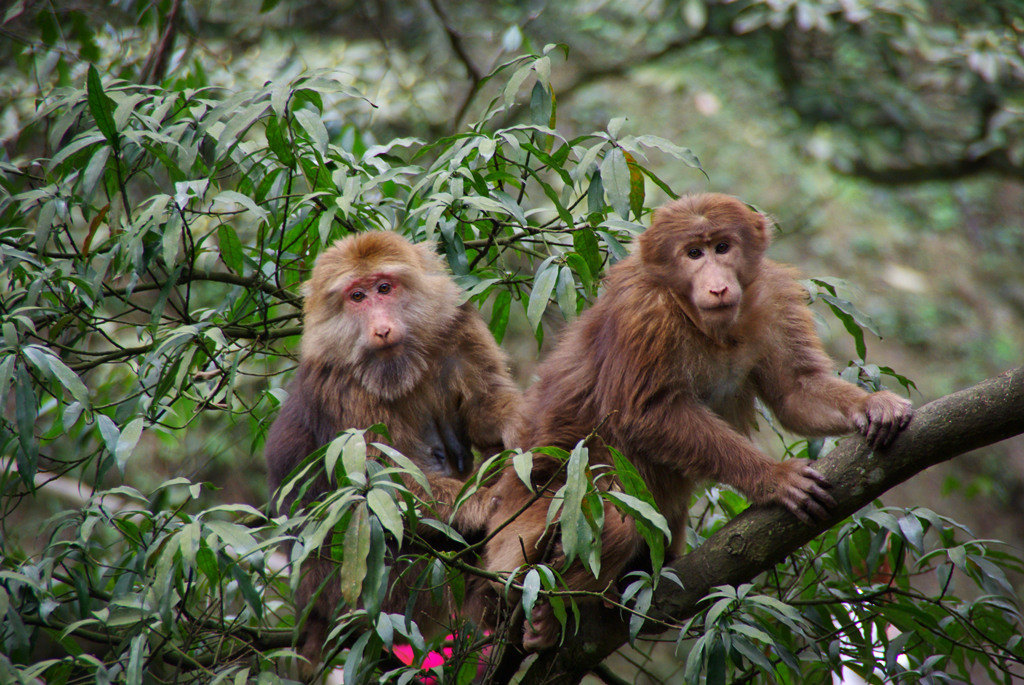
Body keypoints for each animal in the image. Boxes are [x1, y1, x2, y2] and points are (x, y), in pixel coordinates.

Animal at [266, 229, 520, 667]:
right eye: (357, 296)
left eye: (384, 288)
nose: (381, 328)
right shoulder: (343, 389)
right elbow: (381, 487)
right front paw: (486, 504)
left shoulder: (457, 326)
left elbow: (485, 408)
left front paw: (521, 424)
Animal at [485, 191, 913, 647]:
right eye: (693, 253)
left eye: (722, 247)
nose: (718, 283)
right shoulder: (644, 311)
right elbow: (647, 414)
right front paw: (773, 477)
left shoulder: (774, 297)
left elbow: (796, 390)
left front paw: (872, 405)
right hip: (519, 535)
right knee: (614, 517)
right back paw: (550, 613)